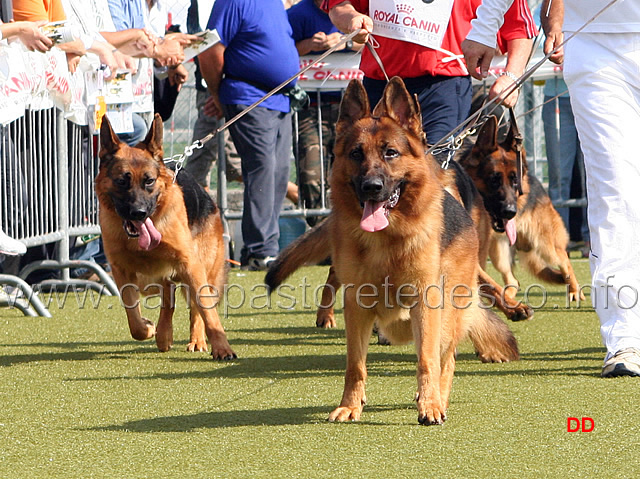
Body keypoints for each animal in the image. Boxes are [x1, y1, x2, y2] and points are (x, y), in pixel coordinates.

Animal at [99, 115, 239, 360]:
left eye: (149, 181)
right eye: (122, 181)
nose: (139, 213)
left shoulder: (190, 265)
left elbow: (206, 310)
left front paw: (222, 348)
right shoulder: (121, 271)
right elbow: (133, 316)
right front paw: (147, 328)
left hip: (202, 268)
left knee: (195, 304)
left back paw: (196, 340)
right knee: (169, 293)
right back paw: (164, 335)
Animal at [268, 79, 516, 428]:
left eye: (391, 153)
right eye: (356, 154)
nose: (372, 187)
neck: (386, 240)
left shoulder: (426, 304)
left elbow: (427, 360)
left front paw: (429, 405)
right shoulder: (357, 307)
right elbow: (355, 365)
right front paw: (350, 406)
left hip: (447, 311)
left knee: (445, 357)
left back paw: (438, 397)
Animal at [456, 116, 584, 304]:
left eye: (515, 181)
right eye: (493, 179)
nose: (510, 212)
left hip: (545, 245)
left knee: (564, 260)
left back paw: (574, 290)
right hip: (499, 253)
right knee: (512, 281)